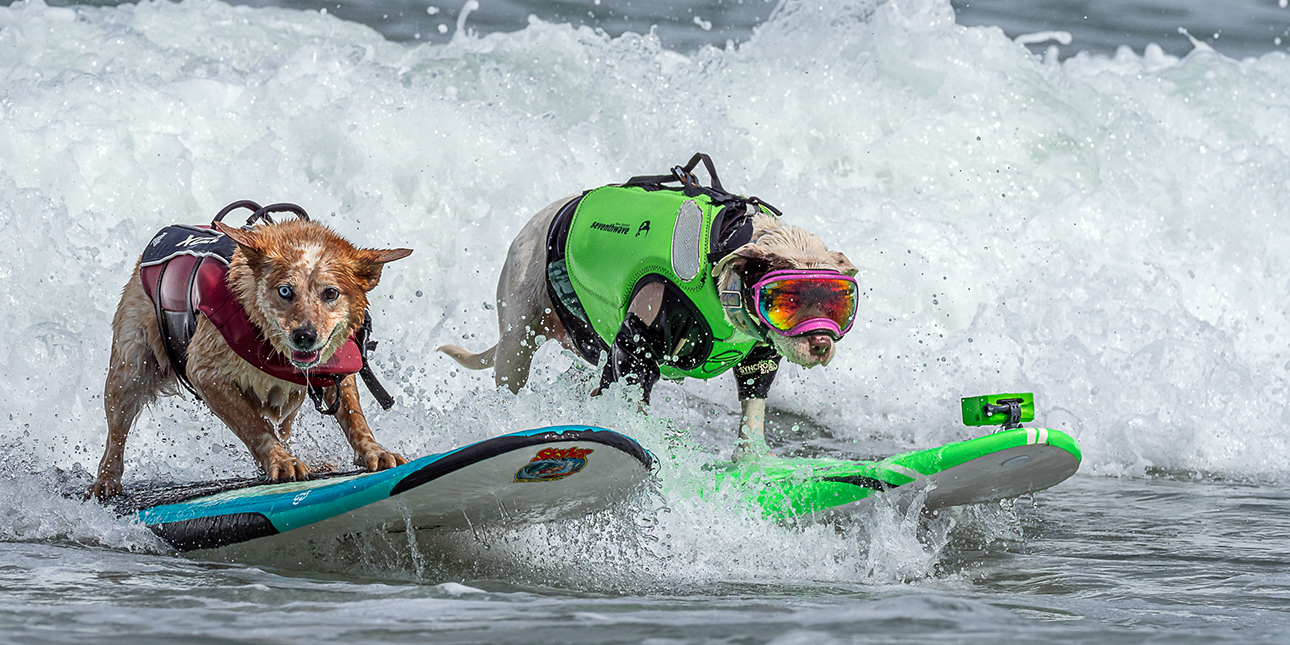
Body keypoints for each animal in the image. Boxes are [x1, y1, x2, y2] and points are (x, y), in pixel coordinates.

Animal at [90, 206, 410, 497]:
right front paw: (280, 460)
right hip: (130, 370)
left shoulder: (338, 370)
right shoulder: (205, 373)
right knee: (116, 430)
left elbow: (354, 416)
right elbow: (252, 424)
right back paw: (106, 482)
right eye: (285, 291)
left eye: (330, 293)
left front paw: (374, 451)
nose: (304, 336)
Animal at [441, 155, 856, 459]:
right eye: (788, 301)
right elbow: (629, 384)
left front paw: (753, 459)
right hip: (518, 334)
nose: (822, 344)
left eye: (837, 303)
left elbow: (754, 402)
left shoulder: (760, 352)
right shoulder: (639, 340)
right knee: (514, 367)